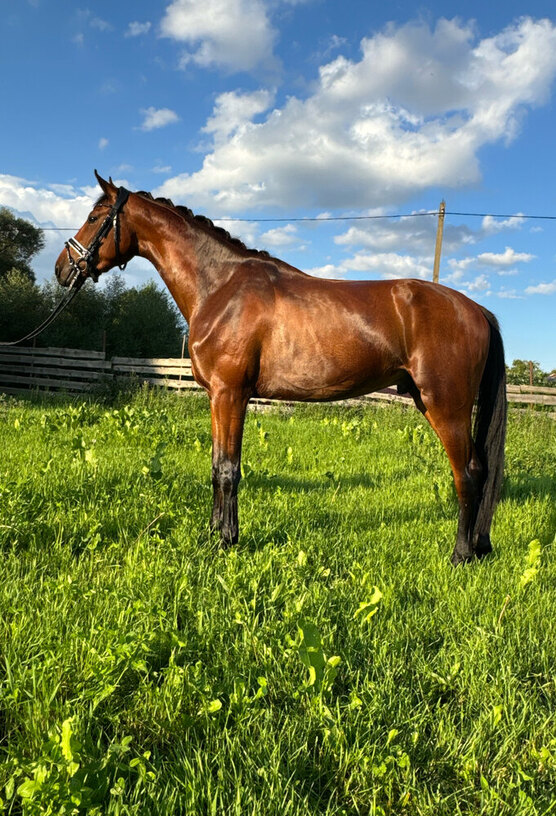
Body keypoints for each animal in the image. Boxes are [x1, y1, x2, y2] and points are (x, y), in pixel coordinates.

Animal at [55, 172, 506, 565]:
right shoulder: (218, 397)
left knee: (468, 474)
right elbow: (216, 465)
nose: (62, 268)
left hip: (446, 406)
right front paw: (212, 534)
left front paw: (227, 541)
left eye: (94, 218)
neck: (220, 287)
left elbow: (228, 470)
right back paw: (478, 548)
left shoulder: (231, 394)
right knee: (480, 471)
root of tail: (475, 309)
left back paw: (461, 555)